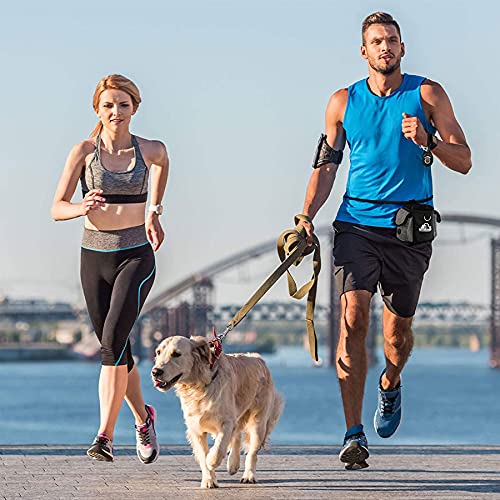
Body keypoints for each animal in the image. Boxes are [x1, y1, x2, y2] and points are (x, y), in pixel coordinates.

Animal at [152, 336, 284, 488]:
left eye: (176, 354)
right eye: (158, 352)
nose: (155, 372)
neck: (199, 386)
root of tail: (258, 358)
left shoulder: (226, 422)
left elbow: (218, 449)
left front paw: (211, 461)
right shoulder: (195, 428)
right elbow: (203, 454)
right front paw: (209, 480)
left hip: (258, 422)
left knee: (252, 452)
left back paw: (248, 476)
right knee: (237, 436)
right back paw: (233, 464)